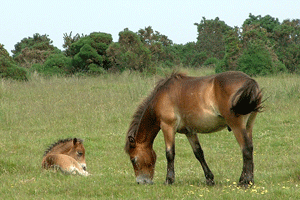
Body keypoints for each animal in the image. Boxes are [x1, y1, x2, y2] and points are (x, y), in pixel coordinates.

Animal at [124, 71, 262, 188]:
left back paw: (245, 182)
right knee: (249, 148)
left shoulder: (167, 127)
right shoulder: (189, 132)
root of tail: (250, 81)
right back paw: (247, 180)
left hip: (237, 126)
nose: (141, 182)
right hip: (248, 126)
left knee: (246, 149)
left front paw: (169, 180)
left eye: (133, 159)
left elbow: (170, 153)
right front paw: (209, 179)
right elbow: (198, 153)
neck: (163, 96)